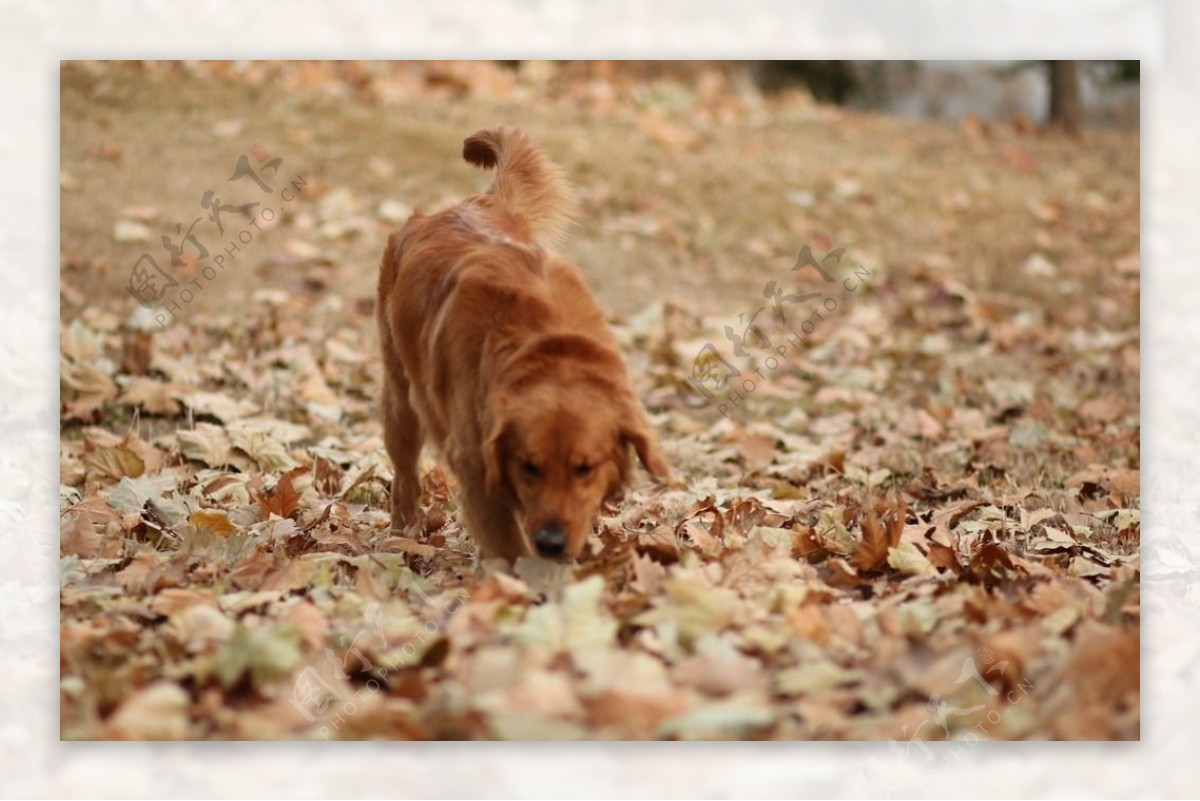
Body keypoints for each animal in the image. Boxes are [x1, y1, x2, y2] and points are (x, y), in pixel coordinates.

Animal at [376, 126, 667, 563]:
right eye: (529, 465)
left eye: (585, 468)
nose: (551, 542)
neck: (549, 347)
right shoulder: (476, 464)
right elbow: (509, 545)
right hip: (401, 398)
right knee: (405, 470)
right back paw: (401, 530)